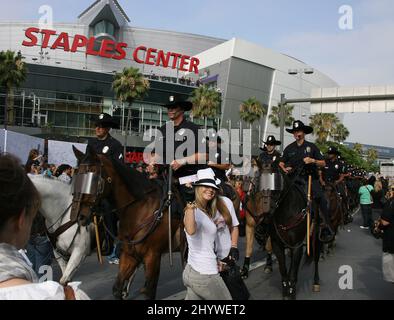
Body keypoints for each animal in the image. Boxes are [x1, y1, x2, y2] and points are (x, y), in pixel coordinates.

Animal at [72, 146, 183, 298]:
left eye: (92, 179)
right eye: (77, 176)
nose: (80, 216)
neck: (140, 208)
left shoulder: (153, 256)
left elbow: (149, 291)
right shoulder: (130, 255)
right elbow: (117, 288)